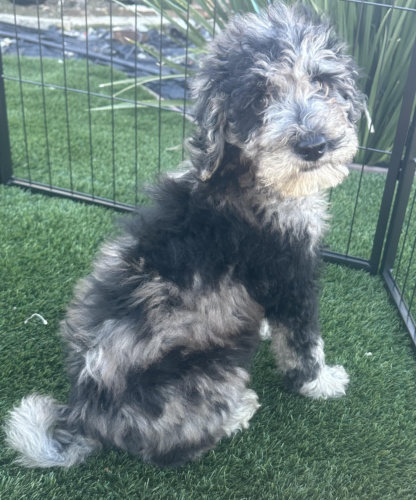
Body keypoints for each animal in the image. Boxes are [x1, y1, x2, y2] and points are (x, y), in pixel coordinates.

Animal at [5, 1, 364, 466]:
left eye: (321, 81)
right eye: (259, 99)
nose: (314, 145)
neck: (247, 175)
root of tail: (84, 415)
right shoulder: (290, 271)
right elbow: (303, 340)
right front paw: (321, 383)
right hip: (212, 371)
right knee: (176, 445)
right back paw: (238, 412)